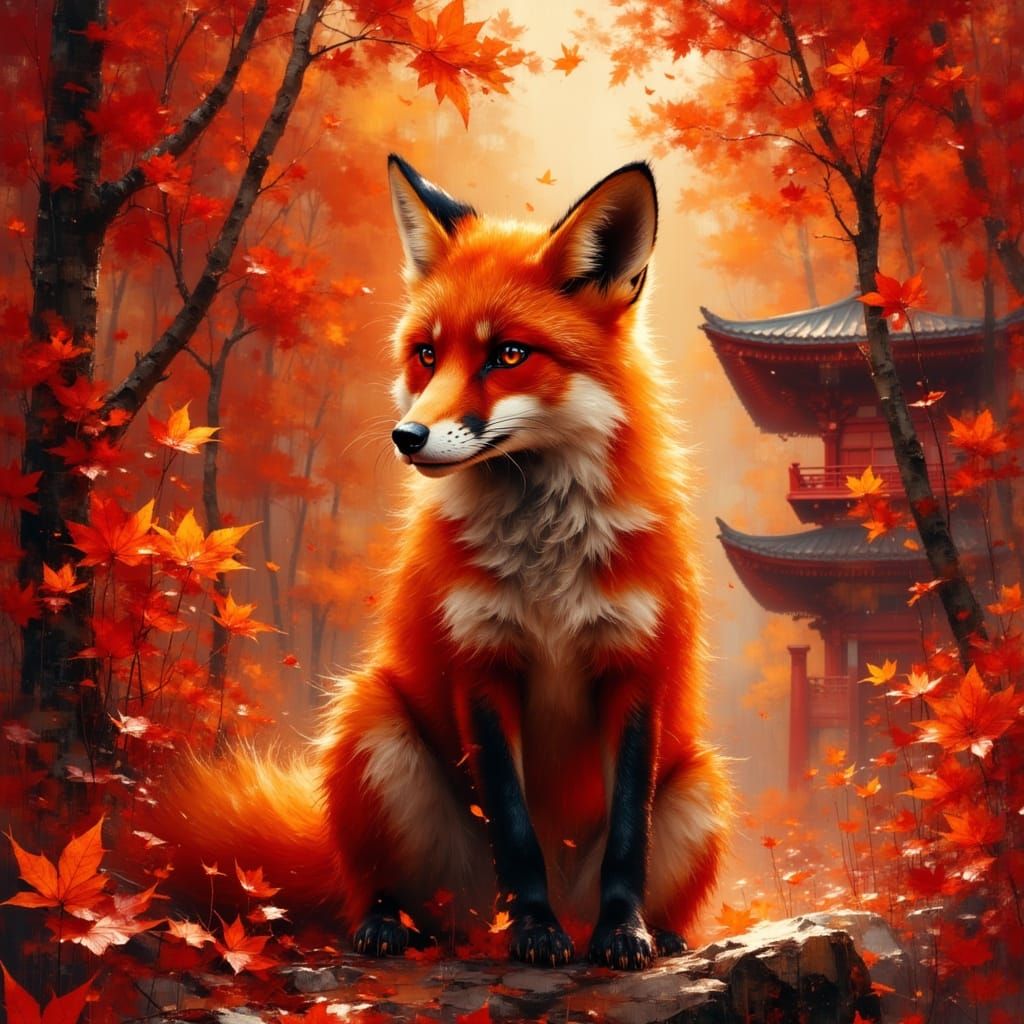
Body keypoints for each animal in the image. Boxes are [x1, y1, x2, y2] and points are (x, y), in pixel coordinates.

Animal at [153, 156, 730, 971]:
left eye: (508, 354)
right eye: (427, 353)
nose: (407, 435)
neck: (544, 567)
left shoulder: (635, 667)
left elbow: (627, 839)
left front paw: (625, 934)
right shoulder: (479, 664)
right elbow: (515, 833)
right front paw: (535, 932)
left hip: (701, 781)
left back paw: (659, 930)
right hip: (373, 723)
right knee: (384, 894)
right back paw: (398, 926)